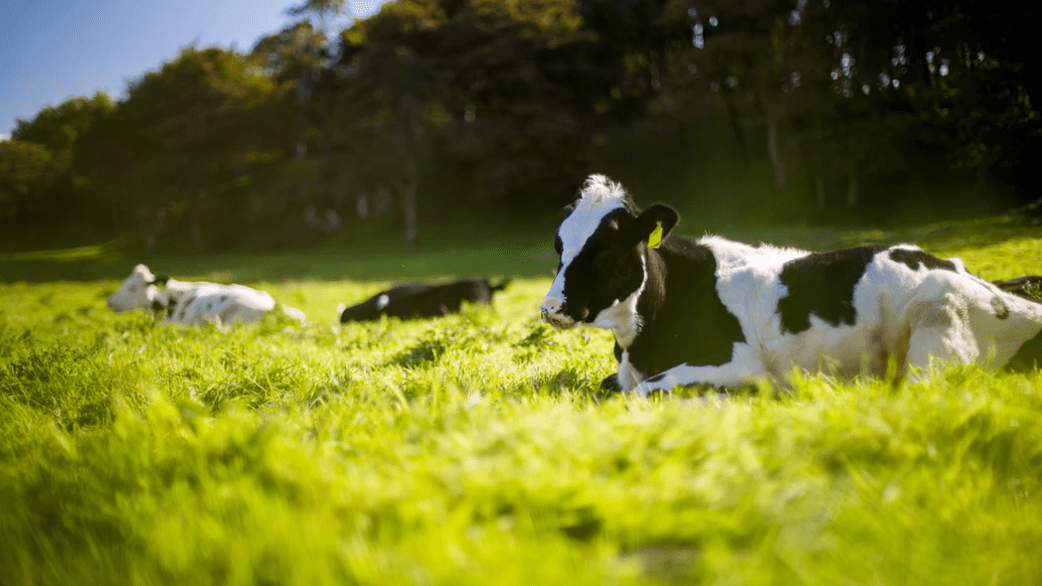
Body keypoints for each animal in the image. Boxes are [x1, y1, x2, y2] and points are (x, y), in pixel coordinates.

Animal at [537, 171, 1042, 394]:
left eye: (606, 248)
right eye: (559, 245)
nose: (550, 307)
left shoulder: (736, 362)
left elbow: (644, 391)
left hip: (936, 333)